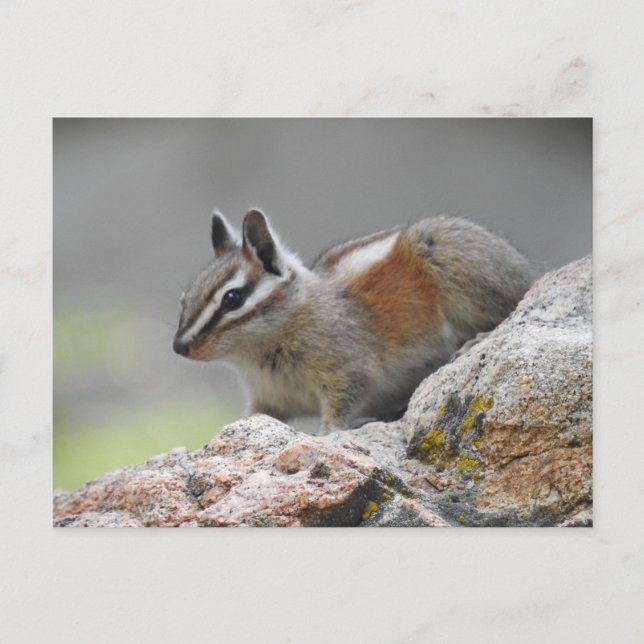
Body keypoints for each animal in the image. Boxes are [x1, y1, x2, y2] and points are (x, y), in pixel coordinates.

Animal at [173, 209, 535, 433]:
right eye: (184, 297)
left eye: (232, 299)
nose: (179, 347)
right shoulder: (267, 399)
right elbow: (253, 418)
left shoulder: (348, 369)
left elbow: (343, 407)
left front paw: (329, 432)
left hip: (449, 254)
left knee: (512, 303)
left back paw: (478, 337)